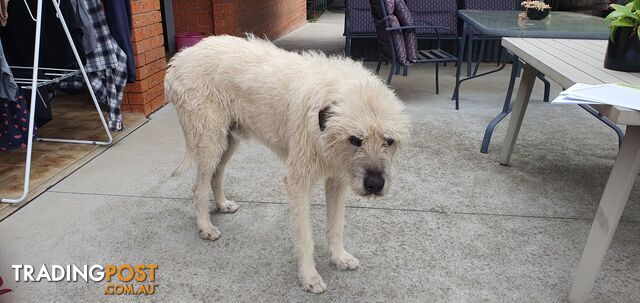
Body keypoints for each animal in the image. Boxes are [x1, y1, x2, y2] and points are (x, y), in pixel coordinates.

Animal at [166, 35, 410, 294]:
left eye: (388, 140)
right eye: (355, 139)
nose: (375, 185)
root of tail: (180, 58)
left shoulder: (337, 180)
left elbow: (336, 225)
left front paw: (339, 257)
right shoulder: (298, 184)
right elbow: (306, 237)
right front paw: (309, 276)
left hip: (227, 141)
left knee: (216, 175)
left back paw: (222, 204)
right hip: (210, 141)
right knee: (198, 188)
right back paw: (205, 226)